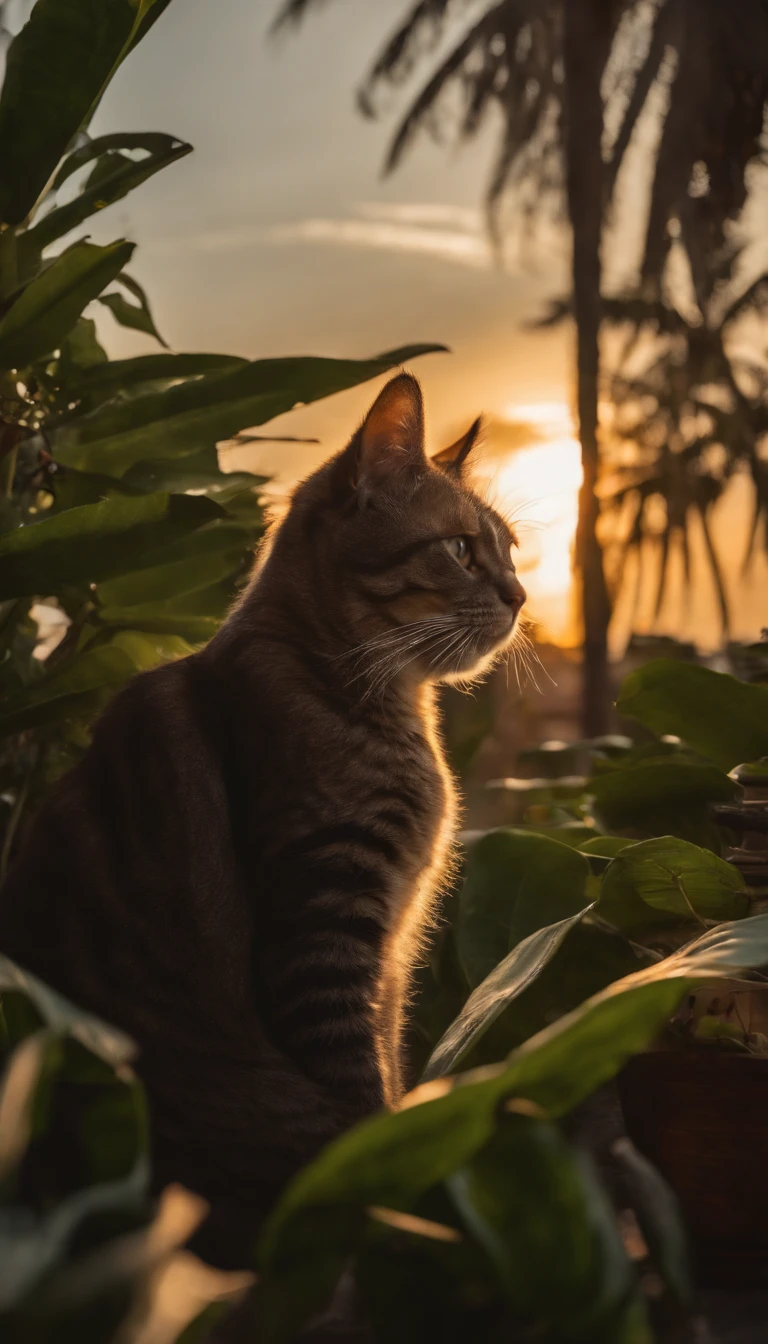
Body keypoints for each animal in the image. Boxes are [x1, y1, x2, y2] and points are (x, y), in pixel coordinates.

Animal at [0, 373, 527, 1263]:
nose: (522, 598)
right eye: (461, 550)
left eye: (512, 550)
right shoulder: (324, 918)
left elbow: (390, 1071)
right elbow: (364, 1113)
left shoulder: (388, 963)